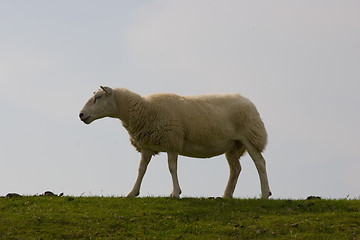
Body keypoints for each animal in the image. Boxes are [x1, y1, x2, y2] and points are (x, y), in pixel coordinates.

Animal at [78, 86, 270, 199]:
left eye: (98, 97)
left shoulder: (172, 141)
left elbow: (172, 168)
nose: (81, 115)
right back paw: (226, 195)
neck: (145, 110)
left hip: (250, 136)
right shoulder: (147, 146)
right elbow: (141, 169)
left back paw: (264, 194)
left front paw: (175, 193)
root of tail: (249, 102)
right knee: (236, 169)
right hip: (231, 145)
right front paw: (132, 192)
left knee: (260, 163)